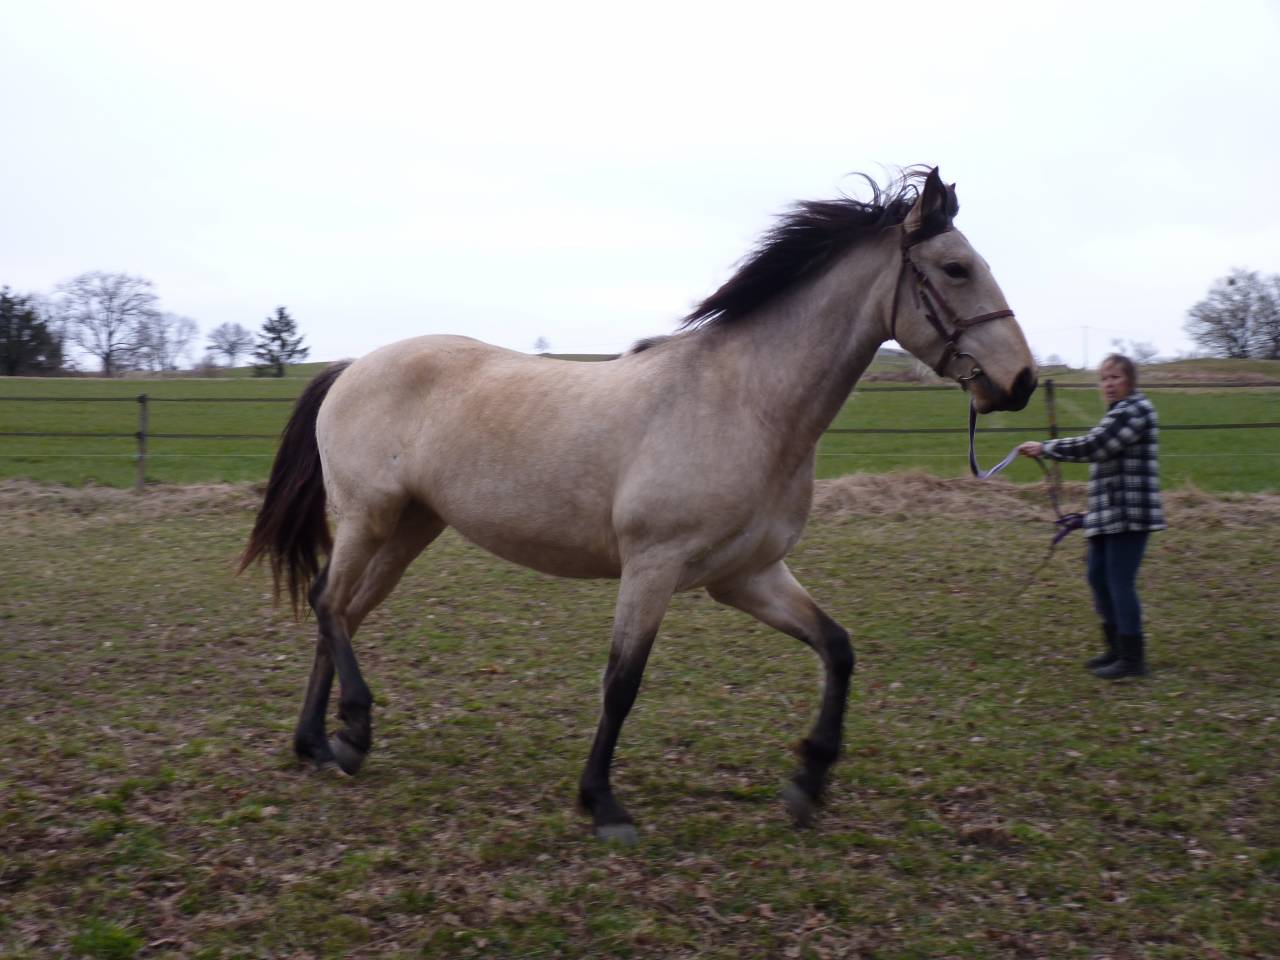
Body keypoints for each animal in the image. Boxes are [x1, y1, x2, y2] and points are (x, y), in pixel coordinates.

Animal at [240, 167, 1036, 842]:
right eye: (957, 268)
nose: (1022, 381)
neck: (745, 403)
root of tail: (351, 366)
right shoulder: (654, 566)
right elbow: (622, 683)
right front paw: (603, 804)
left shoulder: (746, 576)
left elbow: (837, 649)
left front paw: (808, 782)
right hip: (370, 518)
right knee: (328, 603)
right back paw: (353, 731)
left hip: (410, 529)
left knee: (339, 611)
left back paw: (318, 745)